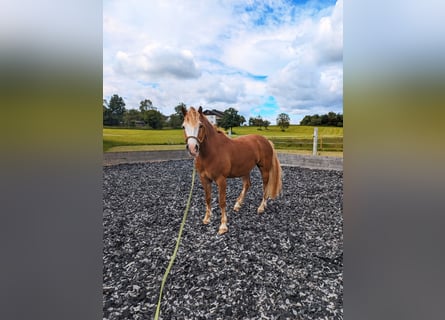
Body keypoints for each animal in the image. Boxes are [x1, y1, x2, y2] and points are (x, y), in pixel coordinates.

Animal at [181, 106, 280, 234]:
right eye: (183, 126)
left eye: (201, 125)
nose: (193, 148)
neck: (211, 152)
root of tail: (266, 140)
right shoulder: (204, 179)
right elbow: (208, 198)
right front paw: (207, 219)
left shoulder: (221, 180)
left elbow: (222, 201)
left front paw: (223, 226)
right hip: (245, 170)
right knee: (247, 184)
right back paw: (238, 205)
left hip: (264, 169)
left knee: (265, 186)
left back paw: (261, 207)